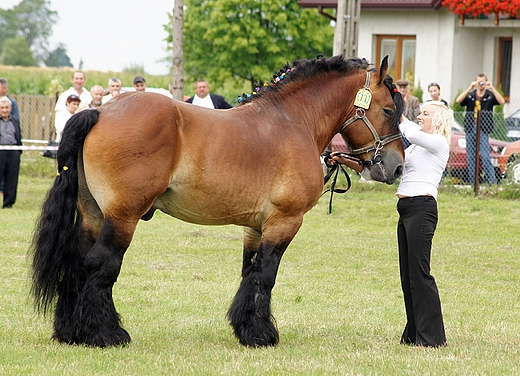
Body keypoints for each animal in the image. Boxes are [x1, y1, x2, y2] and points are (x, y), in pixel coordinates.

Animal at [30, 54, 404, 348]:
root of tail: (101, 113)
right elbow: (266, 275)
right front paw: (261, 335)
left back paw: (71, 331)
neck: (293, 122)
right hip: (123, 217)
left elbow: (250, 273)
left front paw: (247, 328)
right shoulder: (284, 221)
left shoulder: (255, 227)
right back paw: (105, 333)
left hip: (92, 214)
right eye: (388, 110)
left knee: (77, 261)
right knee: (101, 265)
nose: (397, 165)